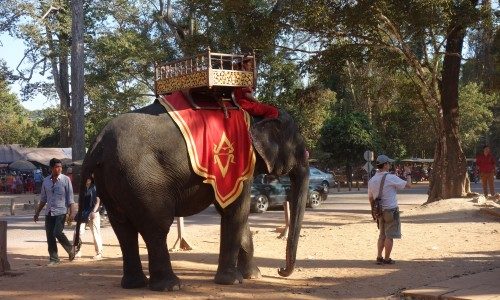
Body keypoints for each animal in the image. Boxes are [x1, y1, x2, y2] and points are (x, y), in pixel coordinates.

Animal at [75, 98, 308, 290]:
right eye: (301, 149)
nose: (280, 270)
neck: (258, 112)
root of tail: (97, 143)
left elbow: (235, 213)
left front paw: (253, 276)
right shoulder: (238, 166)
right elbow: (236, 210)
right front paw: (233, 281)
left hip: (111, 180)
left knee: (123, 229)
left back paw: (134, 285)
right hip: (141, 180)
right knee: (156, 226)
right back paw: (170, 286)